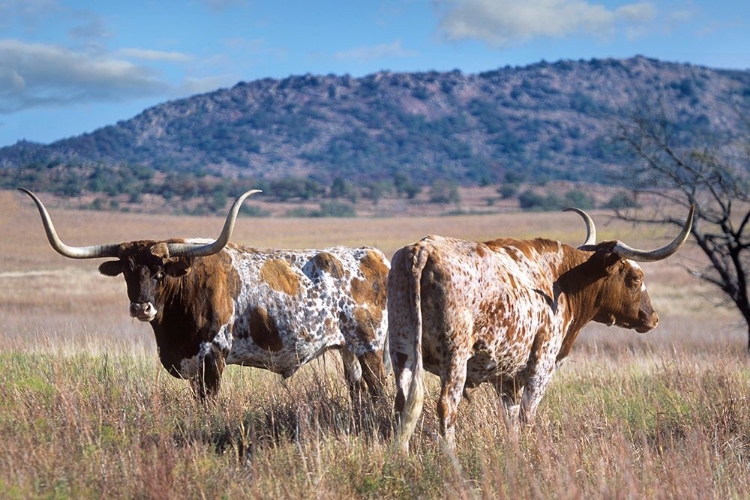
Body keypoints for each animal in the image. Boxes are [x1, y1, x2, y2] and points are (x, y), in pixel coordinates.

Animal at [20, 188, 390, 402]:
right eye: (127, 271)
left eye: (160, 271)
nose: (142, 307)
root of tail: (374, 256)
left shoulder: (213, 357)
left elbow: (209, 405)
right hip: (348, 350)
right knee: (359, 392)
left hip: (370, 347)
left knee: (379, 391)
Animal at [390, 205, 696, 452]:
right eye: (635, 278)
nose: (652, 318)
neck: (561, 279)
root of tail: (423, 249)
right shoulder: (541, 365)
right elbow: (527, 415)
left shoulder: (506, 377)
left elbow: (511, 419)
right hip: (455, 358)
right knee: (446, 406)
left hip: (402, 353)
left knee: (403, 404)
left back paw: (402, 455)